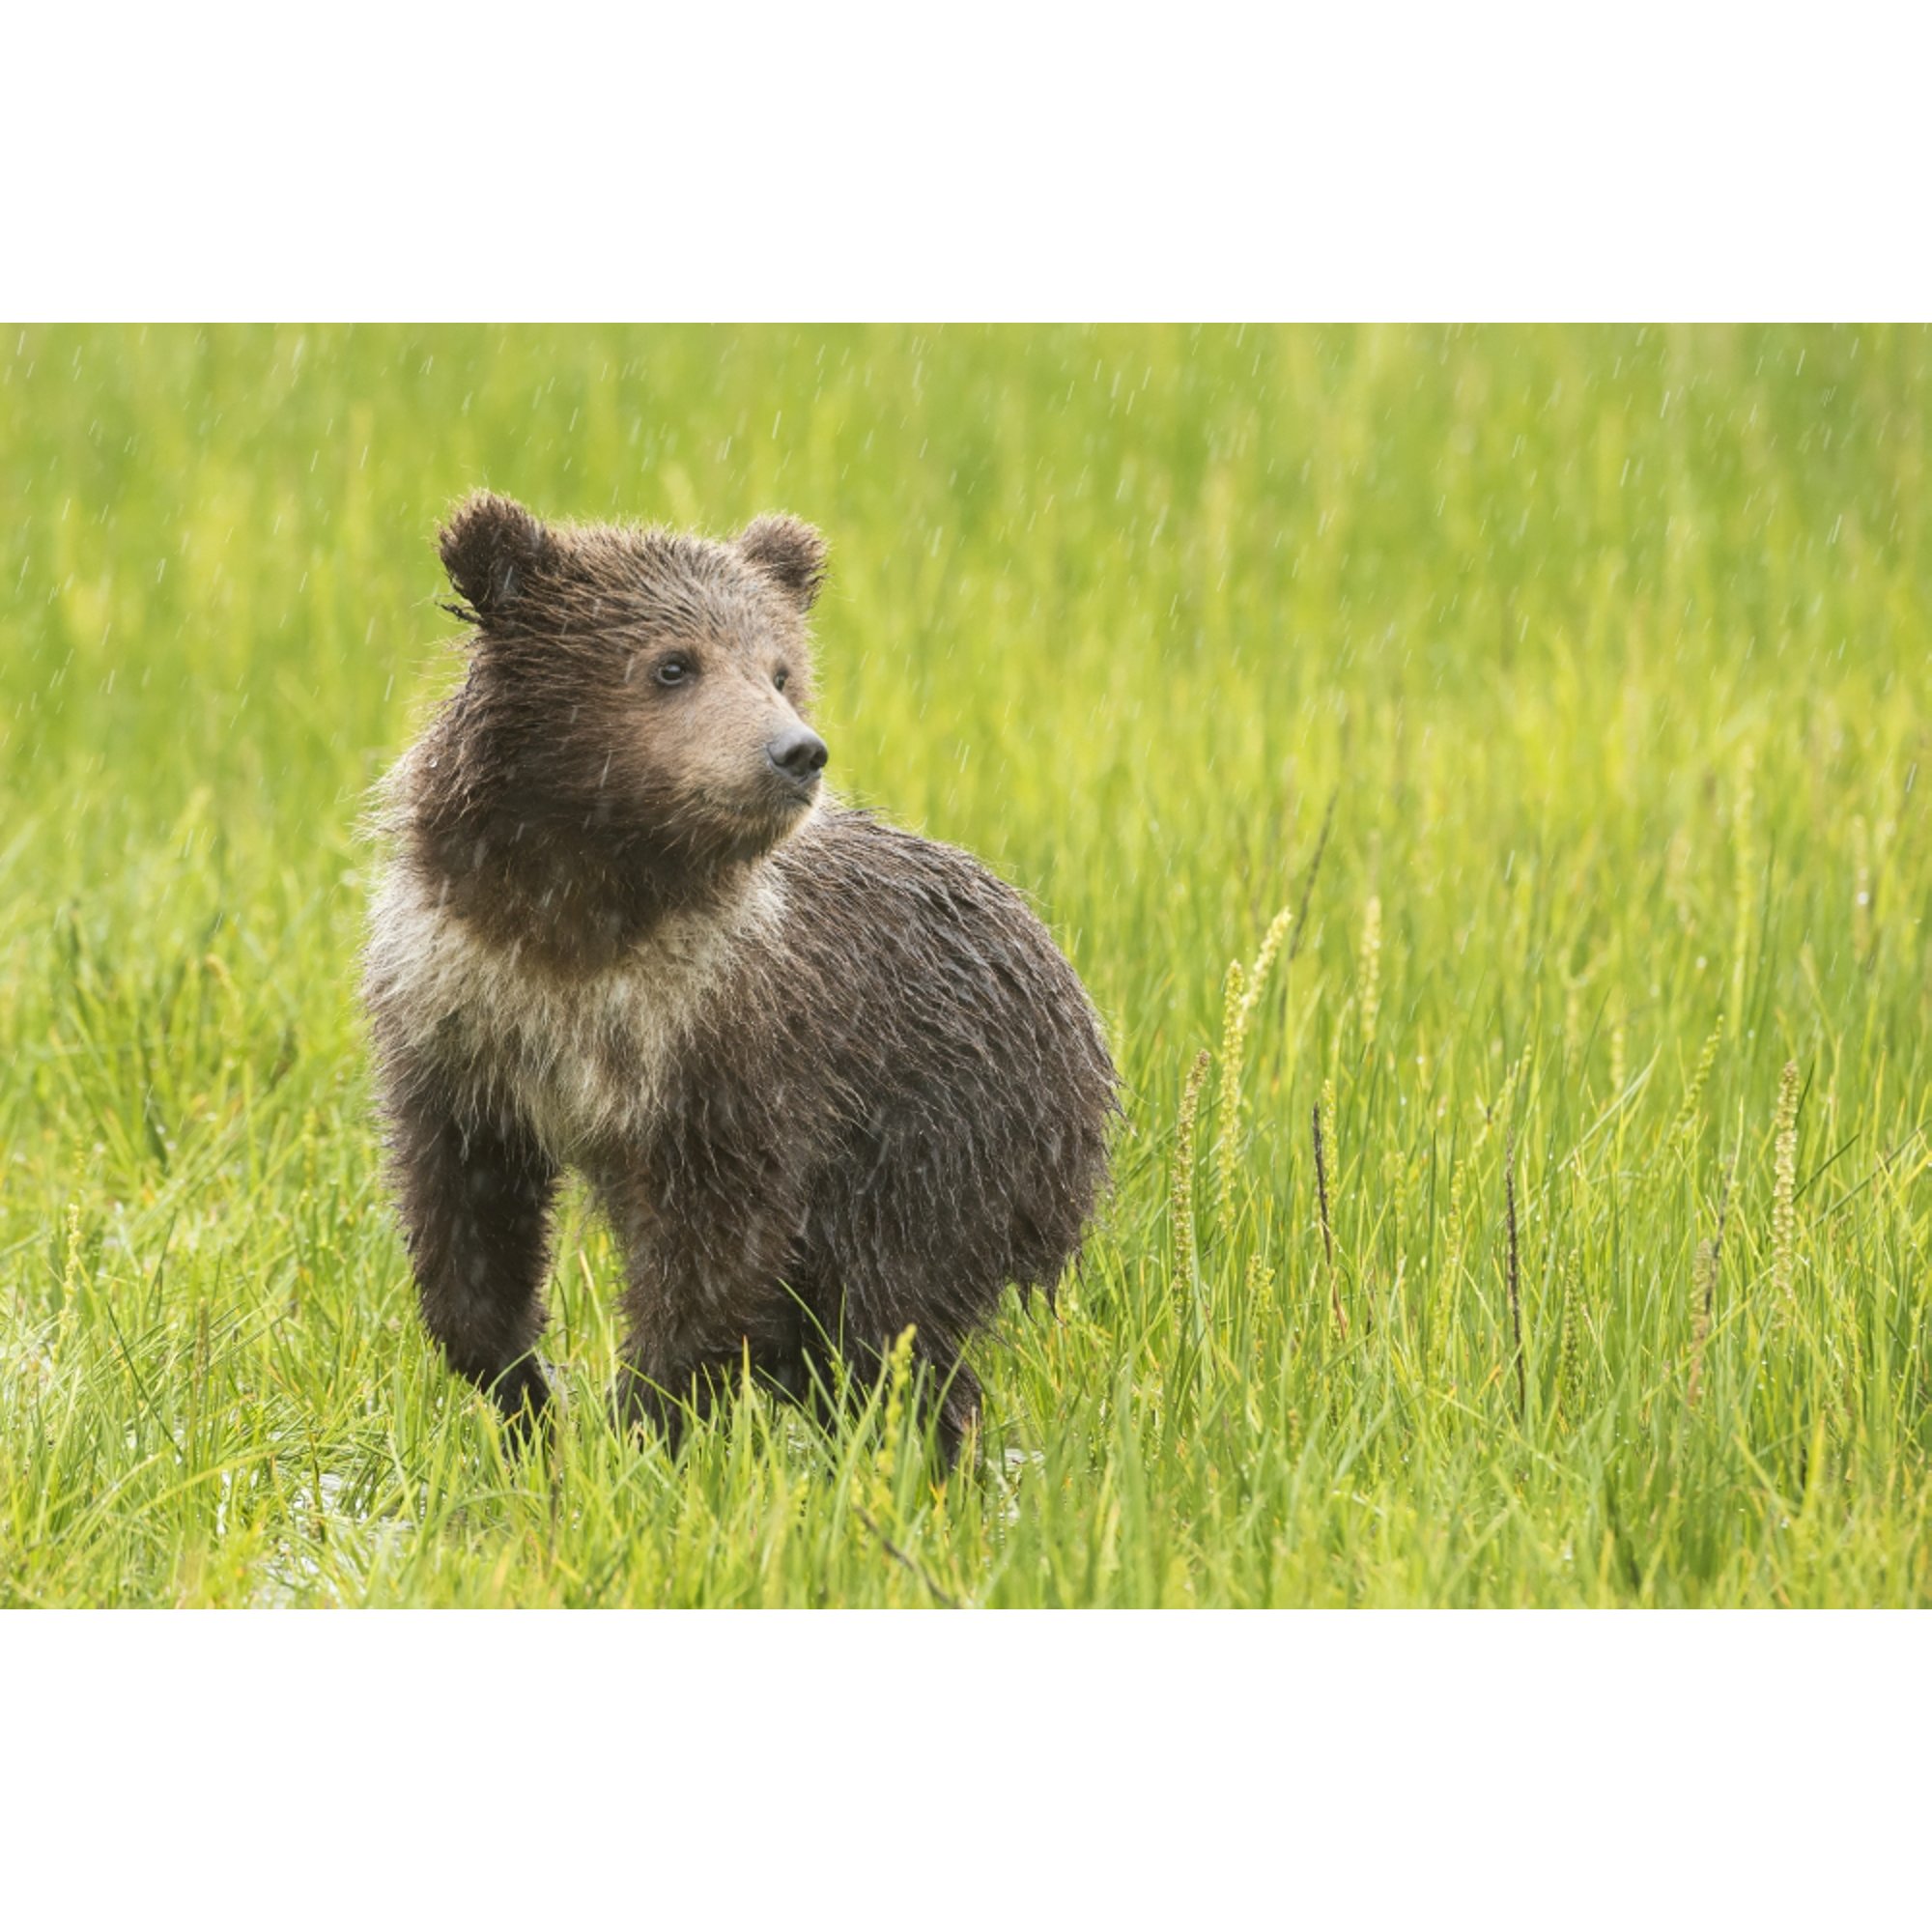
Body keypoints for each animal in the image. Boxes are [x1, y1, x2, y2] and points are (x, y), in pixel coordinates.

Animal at [362, 492, 1117, 1463]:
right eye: (673, 663)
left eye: (781, 670)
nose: (796, 752)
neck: (584, 914)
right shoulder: (459, 1008)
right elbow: (465, 1215)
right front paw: (527, 1400)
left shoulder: (740, 1044)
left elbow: (717, 1256)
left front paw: (644, 1421)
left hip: (948, 1136)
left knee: (884, 1315)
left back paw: (919, 1452)